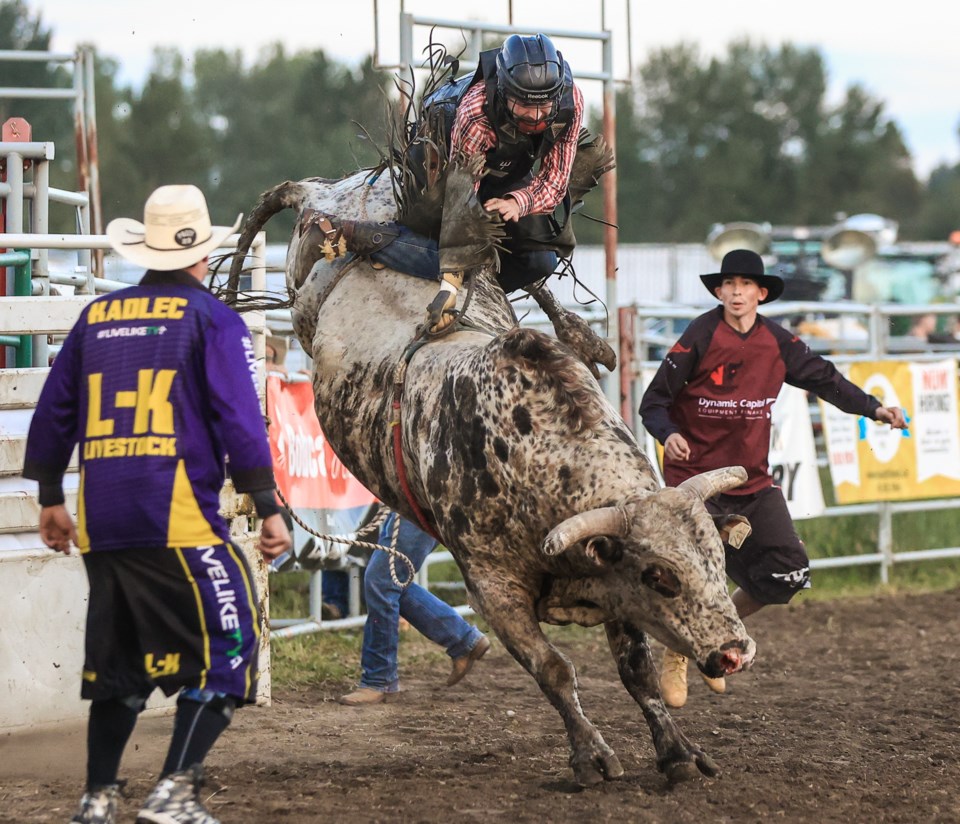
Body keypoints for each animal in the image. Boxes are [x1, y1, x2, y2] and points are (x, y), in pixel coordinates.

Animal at [229, 166, 752, 784]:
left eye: (718, 558)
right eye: (660, 576)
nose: (735, 651)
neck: (537, 455)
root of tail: (324, 189)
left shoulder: (612, 582)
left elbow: (637, 672)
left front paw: (678, 752)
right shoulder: (492, 587)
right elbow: (554, 669)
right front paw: (591, 756)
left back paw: (585, 336)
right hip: (306, 290)